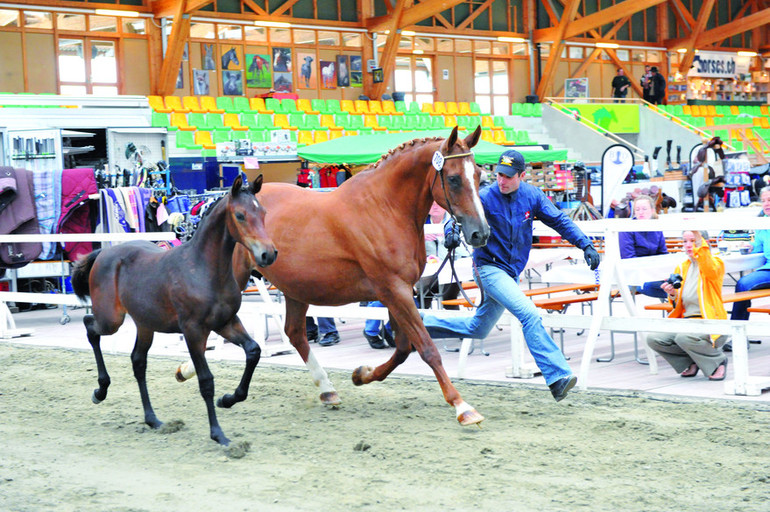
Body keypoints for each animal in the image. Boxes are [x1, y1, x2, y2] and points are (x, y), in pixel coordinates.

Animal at [71, 175, 276, 444]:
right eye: (240, 215)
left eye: (263, 213)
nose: (268, 254)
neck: (203, 269)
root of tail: (105, 252)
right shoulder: (193, 331)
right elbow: (206, 381)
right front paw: (218, 434)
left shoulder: (226, 322)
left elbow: (253, 351)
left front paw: (228, 400)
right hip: (111, 319)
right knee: (90, 326)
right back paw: (100, 390)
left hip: (145, 324)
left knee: (138, 361)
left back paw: (152, 419)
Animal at [243, 126, 488, 426]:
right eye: (453, 179)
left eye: (478, 175)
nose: (481, 233)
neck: (384, 208)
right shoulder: (394, 290)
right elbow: (427, 347)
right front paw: (462, 406)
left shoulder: (399, 291)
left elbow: (403, 348)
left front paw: (361, 375)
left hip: (296, 288)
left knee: (295, 333)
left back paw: (328, 391)